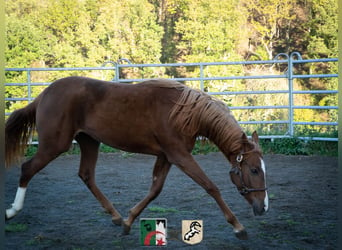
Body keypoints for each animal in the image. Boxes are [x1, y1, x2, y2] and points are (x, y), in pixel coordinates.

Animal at [4, 76, 268, 240]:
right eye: (254, 170)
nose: (263, 207)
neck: (184, 113)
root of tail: (43, 95)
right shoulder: (179, 155)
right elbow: (211, 187)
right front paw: (238, 227)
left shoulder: (166, 156)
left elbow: (155, 190)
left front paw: (128, 222)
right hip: (54, 145)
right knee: (27, 169)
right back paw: (12, 211)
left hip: (89, 142)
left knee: (86, 175)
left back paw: (115, 216)